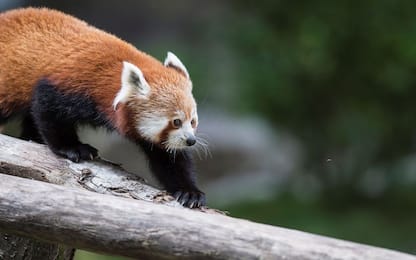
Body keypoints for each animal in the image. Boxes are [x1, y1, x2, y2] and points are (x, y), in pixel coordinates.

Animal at [0, 7, 206, 208]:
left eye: (192, 121)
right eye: (176, 122)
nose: (191, 140)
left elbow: (168, 157)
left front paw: (189, 191)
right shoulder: (64, 84)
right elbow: (48, 112)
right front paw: (73, 147)